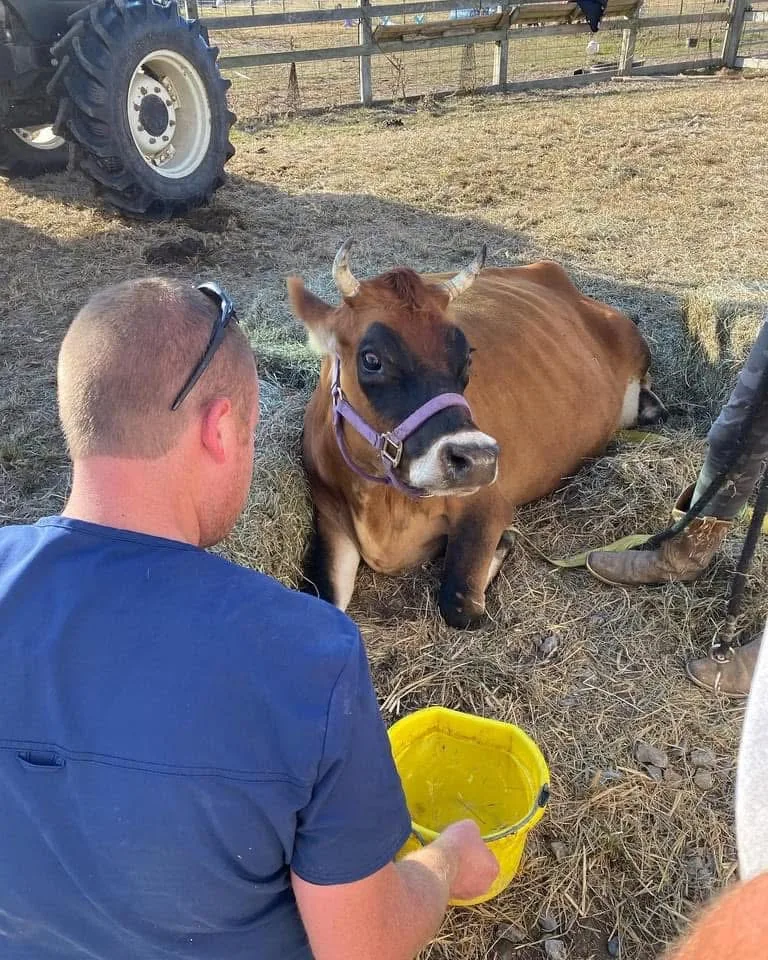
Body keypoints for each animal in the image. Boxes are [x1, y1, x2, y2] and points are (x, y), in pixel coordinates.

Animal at [288, 242, 666, 628]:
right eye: (371, 359)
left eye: (467, 356)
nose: (478, 459)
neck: (386, 505)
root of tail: (549, 270)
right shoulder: (328, 514)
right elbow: (319, 602)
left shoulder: (489, 504)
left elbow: (461, 604)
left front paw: (503, 547)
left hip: (634, 344)